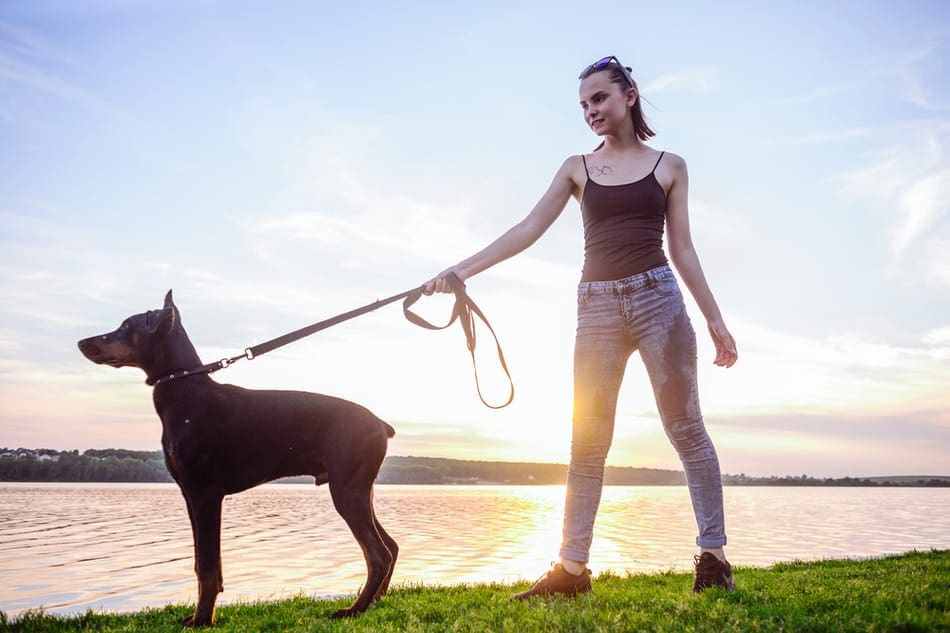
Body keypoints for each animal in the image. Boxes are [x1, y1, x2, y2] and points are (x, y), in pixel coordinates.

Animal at [77, 292, 398, 628]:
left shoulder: (205, 495)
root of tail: (381, 424)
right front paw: (200, 614)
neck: (185, 391)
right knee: (390, 546)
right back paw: (373, 601)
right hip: (360, 491)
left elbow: (207, 566)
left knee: (378, 555)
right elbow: (203, 564)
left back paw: (354, 609)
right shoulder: (190, 496)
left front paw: (202, 620)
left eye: (127, 325)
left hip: (347, 491)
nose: (81, 342)